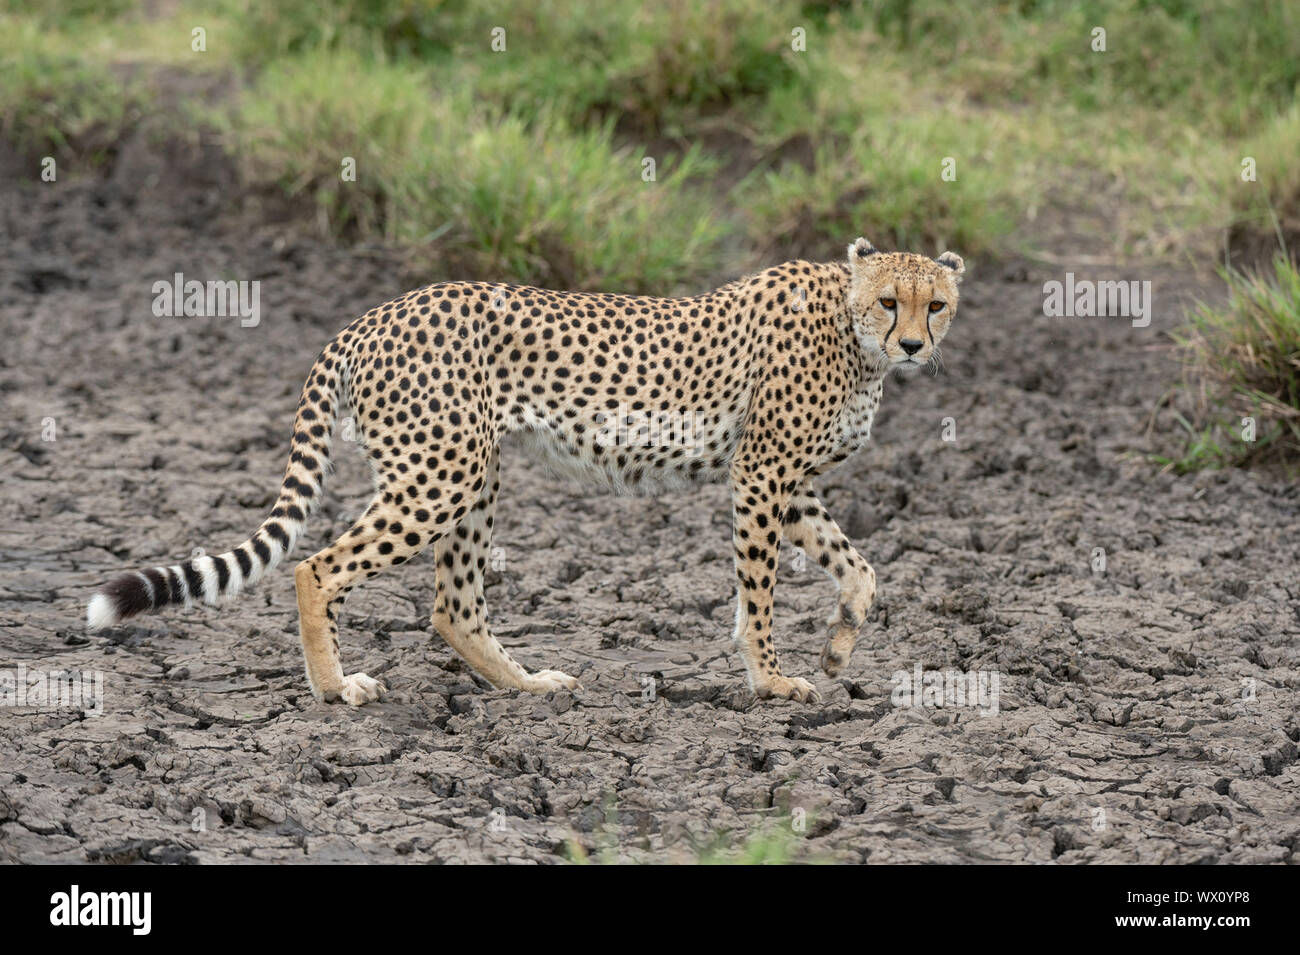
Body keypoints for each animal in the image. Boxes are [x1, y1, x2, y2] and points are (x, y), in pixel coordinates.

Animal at [86, 235, 967, 706]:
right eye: (889, 301)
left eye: (937, 304)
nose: (913, 345)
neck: (851, 333)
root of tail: (372, 314)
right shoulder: (761, 474)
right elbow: (759, 592)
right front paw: (772, 679)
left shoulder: (793, 483)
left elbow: (862, 567)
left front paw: (839, 646)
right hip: (441, 471)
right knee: (317, 566)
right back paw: (336, 688)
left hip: (470, 473)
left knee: (451, 605)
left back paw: (525, 685)